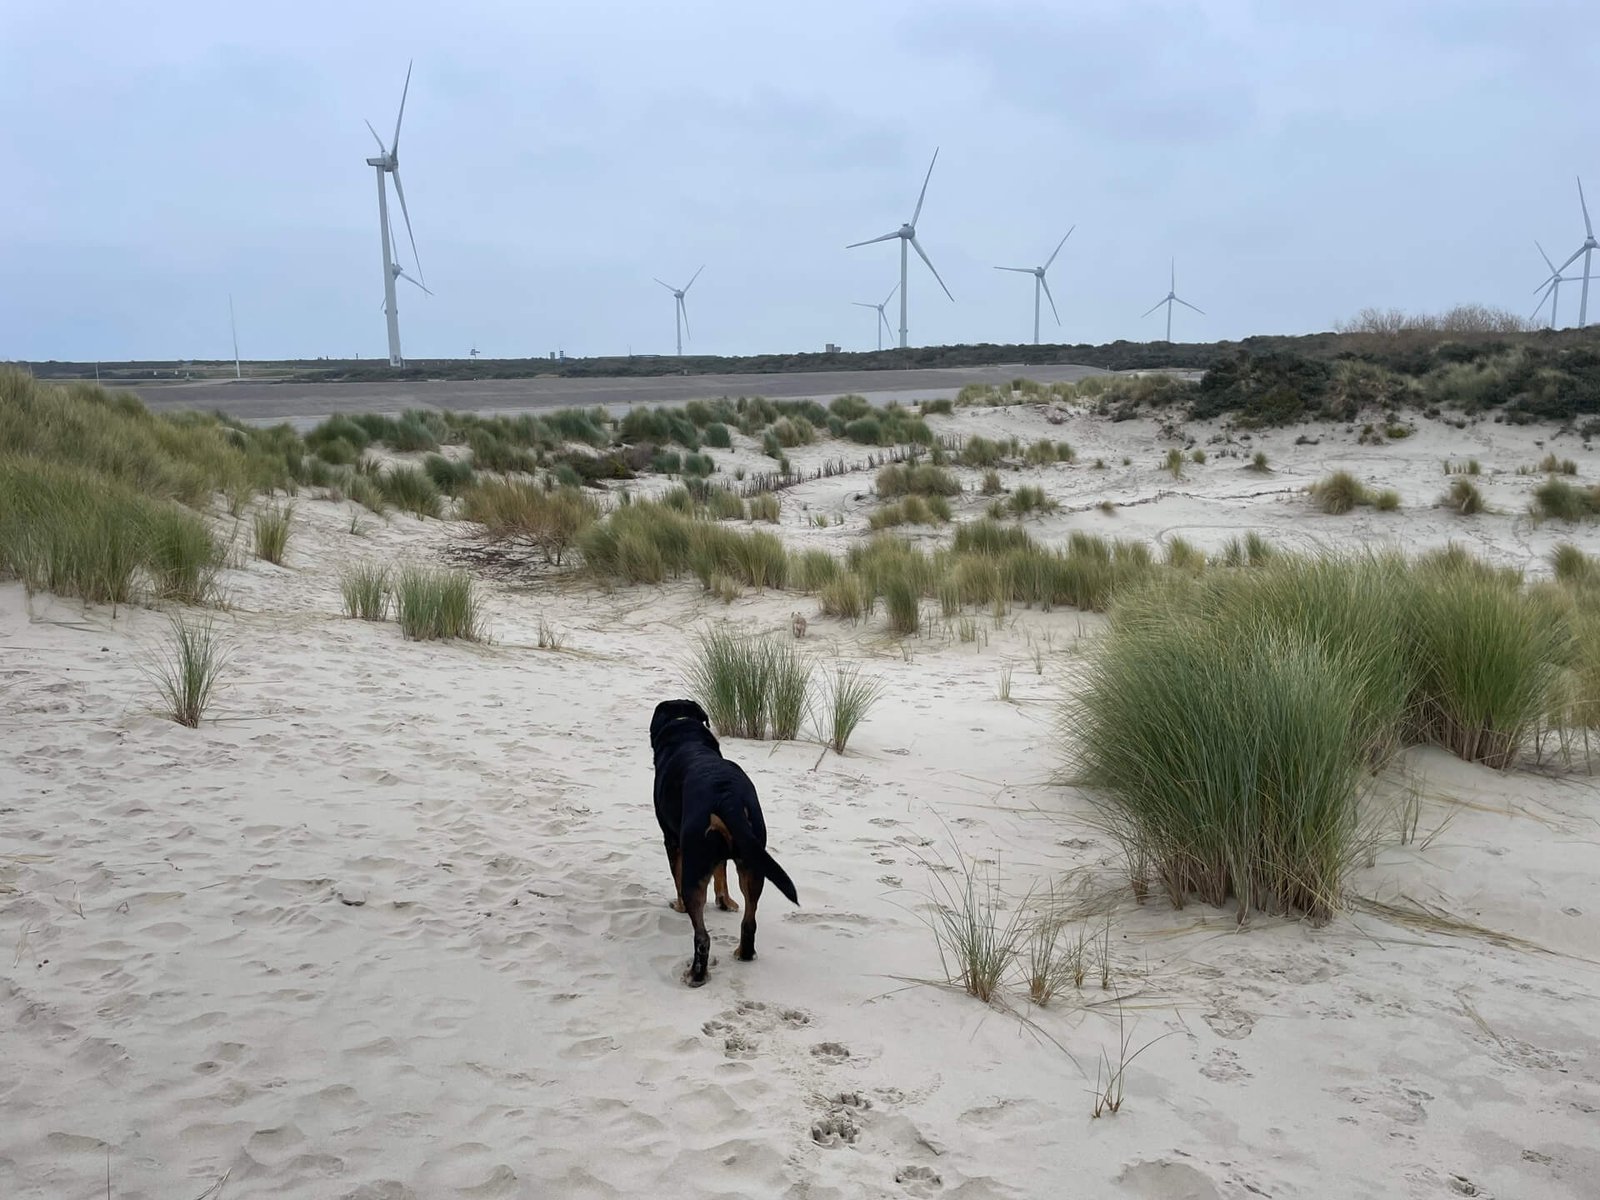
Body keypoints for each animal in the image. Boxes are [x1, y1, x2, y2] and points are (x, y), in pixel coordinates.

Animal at [649, 704, 800, 985]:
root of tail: (726, 796)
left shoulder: (672, 841)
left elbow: (677, 878)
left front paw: (679, 907)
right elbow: (721, 873)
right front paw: (725, 901)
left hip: (696, 866)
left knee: (702, 937)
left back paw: (696, 975)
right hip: (753, 863)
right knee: (749, 922)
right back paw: (744, 953)